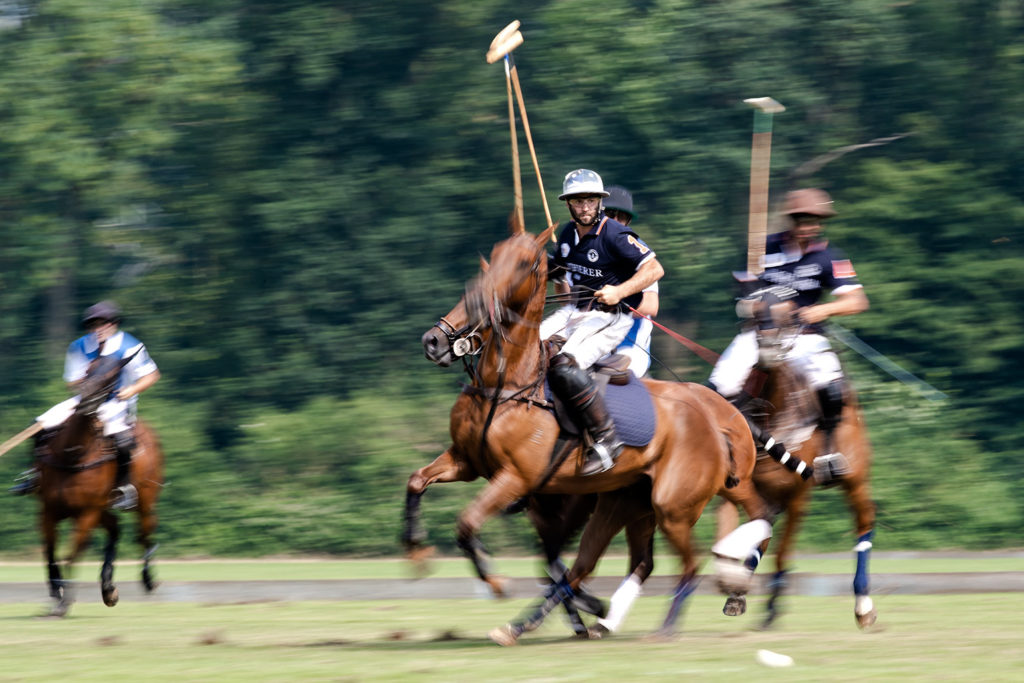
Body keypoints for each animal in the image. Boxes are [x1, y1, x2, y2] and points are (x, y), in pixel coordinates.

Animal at [35, 356, 161, 618]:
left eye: (113, 377)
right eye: (88, 370)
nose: (85, 403)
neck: (71, 454)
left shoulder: (87, 513)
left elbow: (71, 555)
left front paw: (63, 604)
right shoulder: (48, 510)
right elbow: (50, 553)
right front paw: (55, 594)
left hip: (144, 500)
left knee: (145, 534)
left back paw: (147, 581)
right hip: (102, 508)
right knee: (116, 529)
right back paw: (108, 588)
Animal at [399, 229, 770, 643]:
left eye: (523, 264)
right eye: (488, 264)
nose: (433, 341)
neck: (506, 384)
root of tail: (715, 418)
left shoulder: (516, 477)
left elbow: (467, 523)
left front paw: (497, 583)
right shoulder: (467, 461)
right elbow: (416, 482)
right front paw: (416, 553)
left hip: (673, 504)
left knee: (696, 555)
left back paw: (671, 621)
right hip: (630, 502)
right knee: (612, 563)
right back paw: (566, 621)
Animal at [716, 313, 876, 626]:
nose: (768, 345)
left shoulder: (798, 498)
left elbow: (782, 552)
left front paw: (770, 607)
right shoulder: (736, 491)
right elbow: (732, 538)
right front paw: (734, 589)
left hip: (856, 480)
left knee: (865, 524)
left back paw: (864, 605)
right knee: (763, 533)